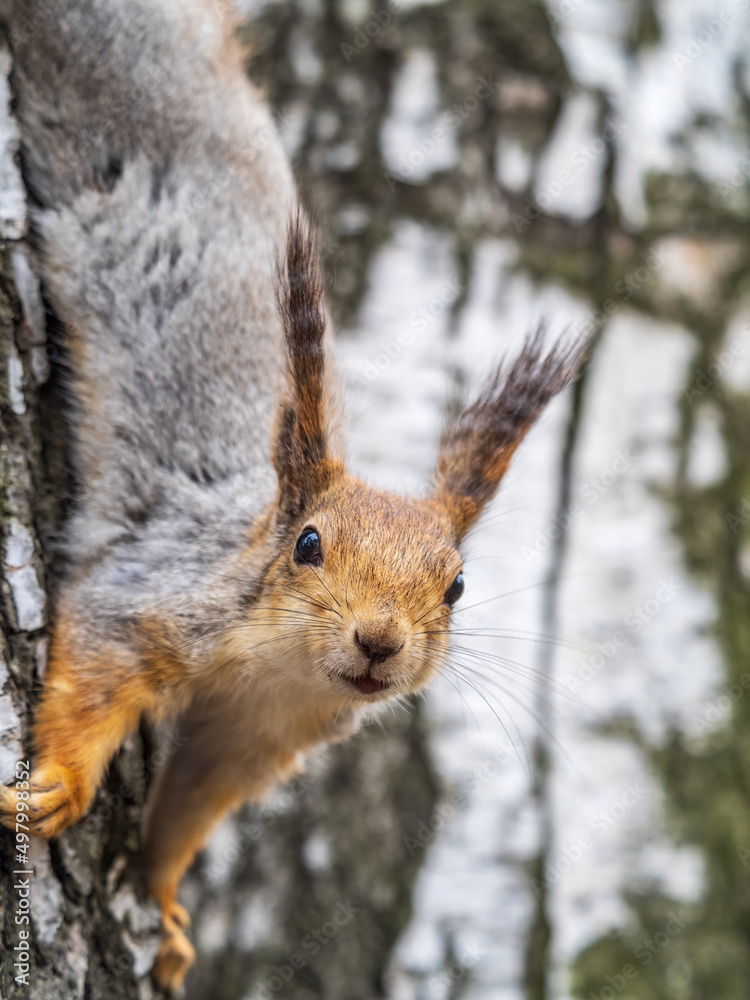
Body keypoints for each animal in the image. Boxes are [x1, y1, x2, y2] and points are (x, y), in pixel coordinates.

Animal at [0, 0, 585, 992]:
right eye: (307, 544)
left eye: (457, 587)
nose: (379, 643)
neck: (274, 670)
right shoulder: (157, 590)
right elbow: (95, 665)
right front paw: (61, 787)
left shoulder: (252, 738)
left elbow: (189, 811)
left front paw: (163, 902)